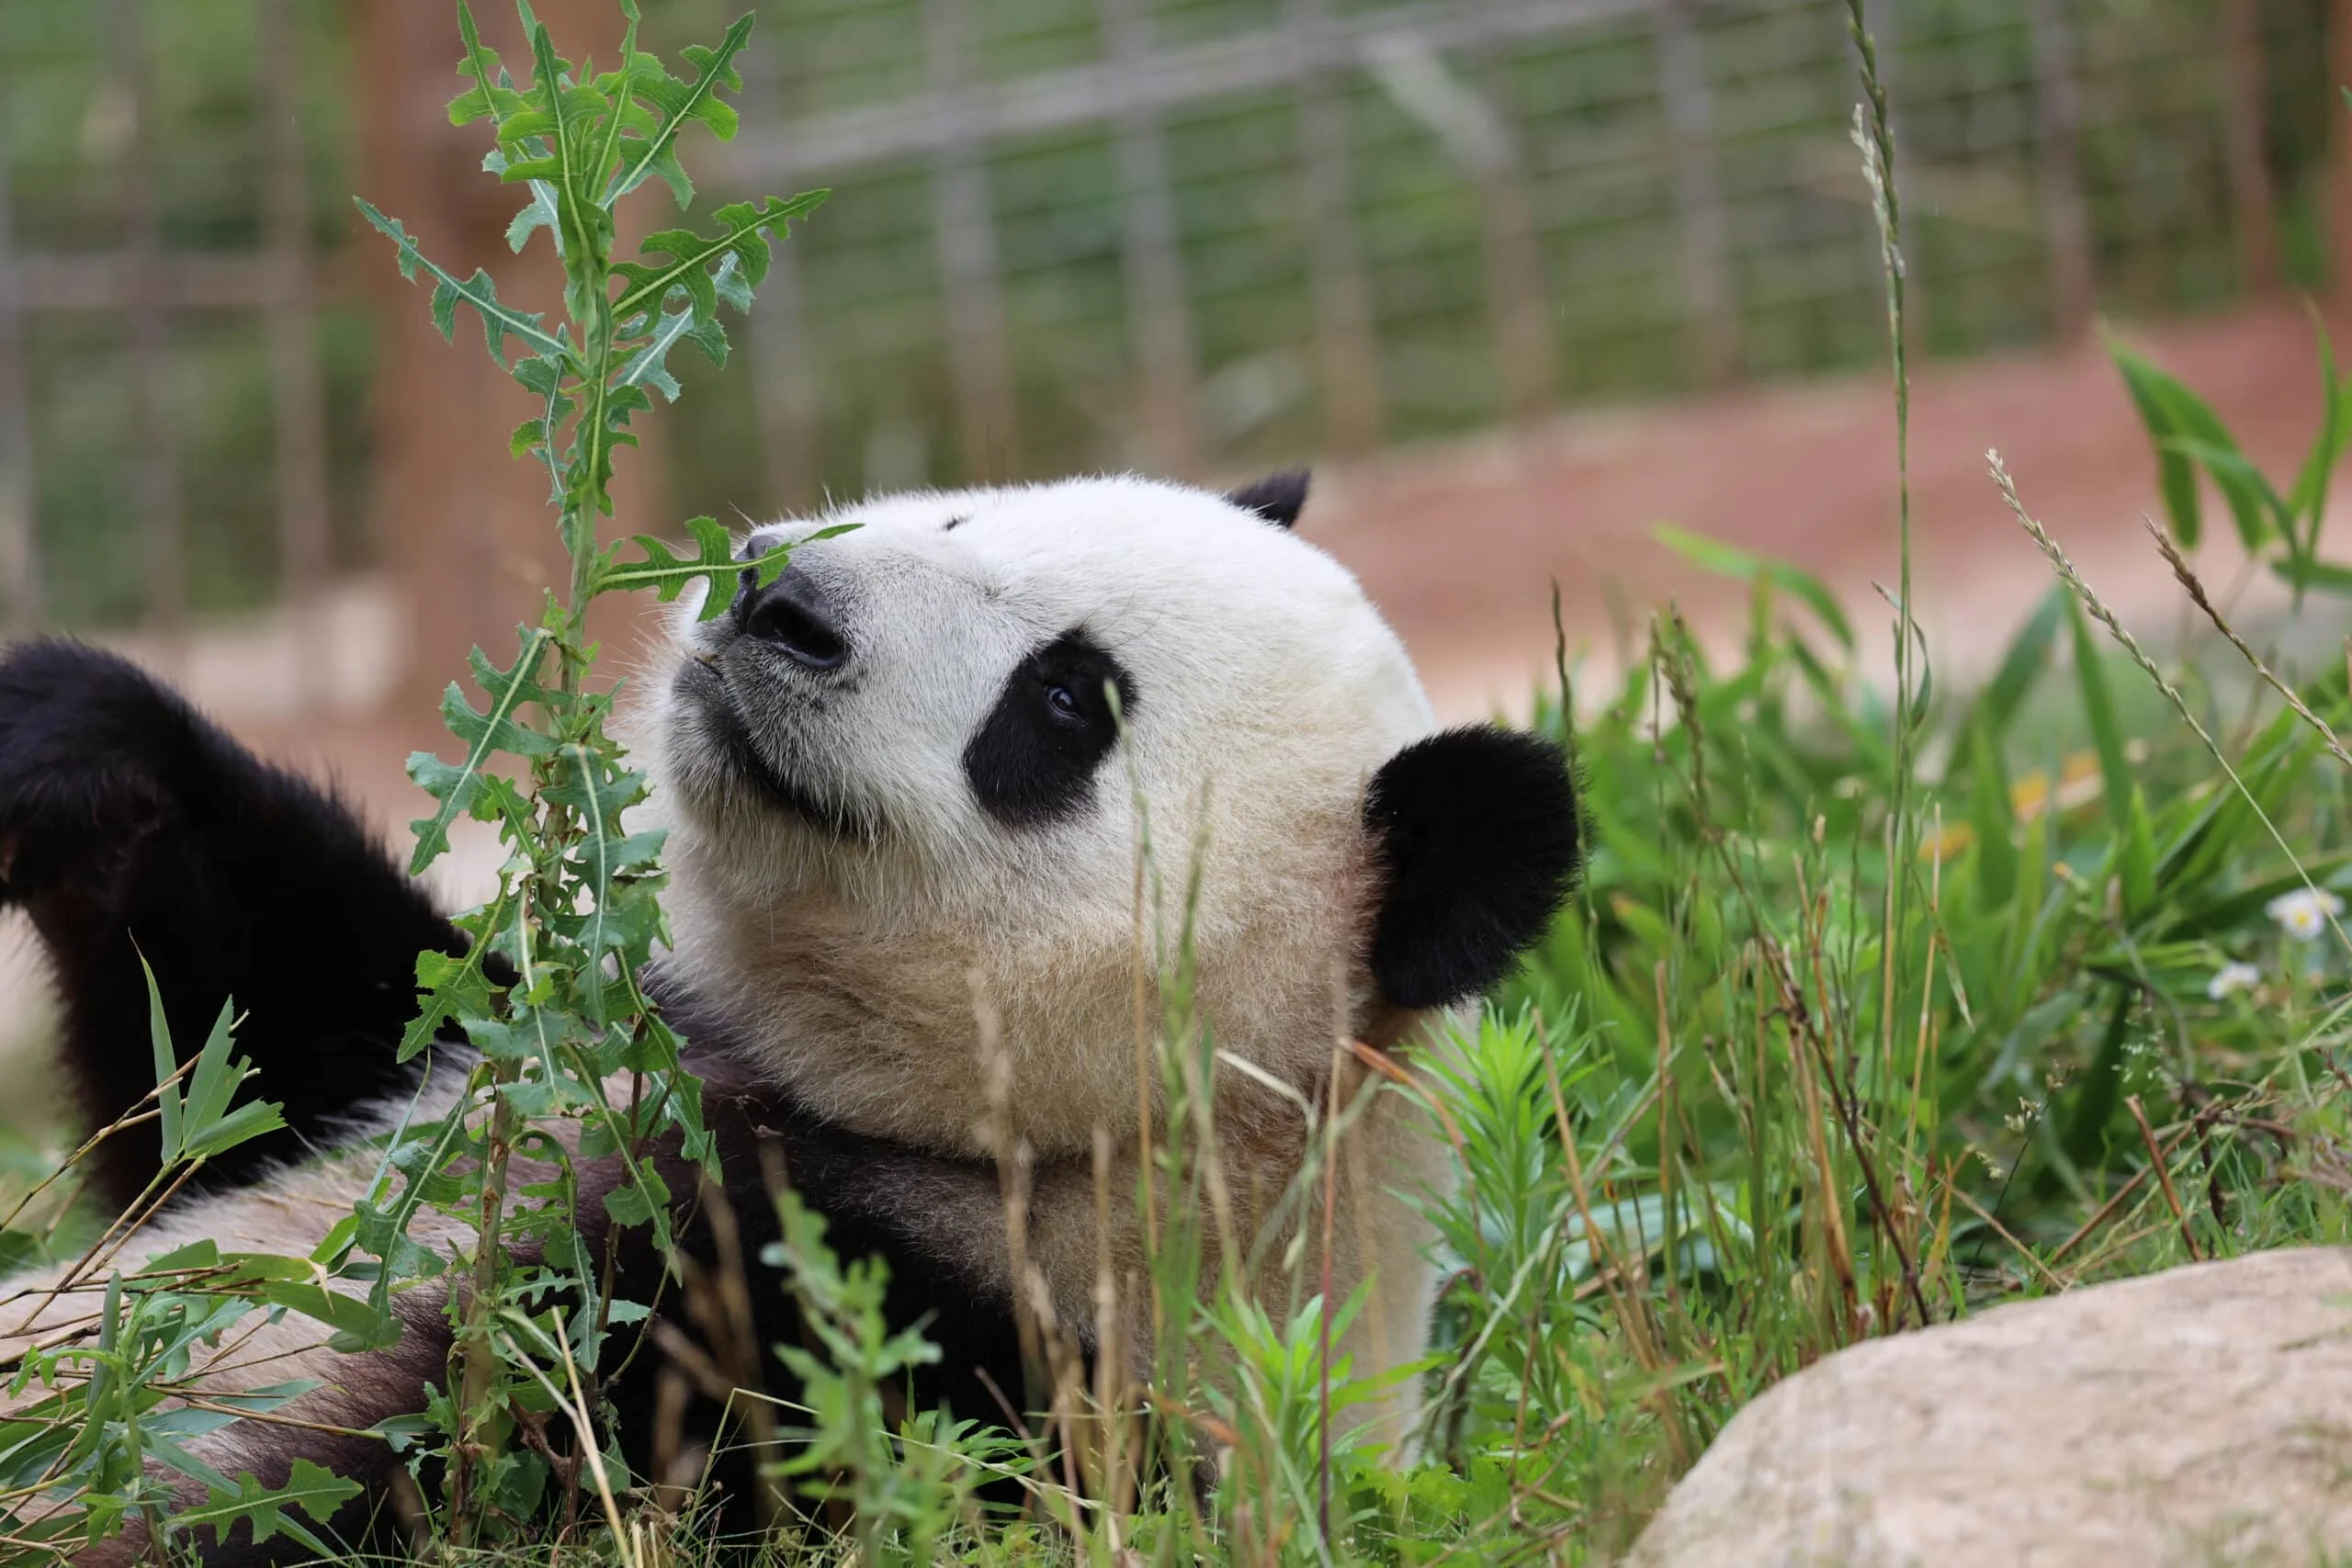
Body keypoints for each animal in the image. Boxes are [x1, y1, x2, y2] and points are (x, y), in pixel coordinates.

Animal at [0, 470, 1580, 1564]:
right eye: (973, 510)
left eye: (1066, 699)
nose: (777, 599)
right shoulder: (508, 1064)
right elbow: (245, 1063)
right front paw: (62, 743)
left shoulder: (947, 1364)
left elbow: (467, 1476)